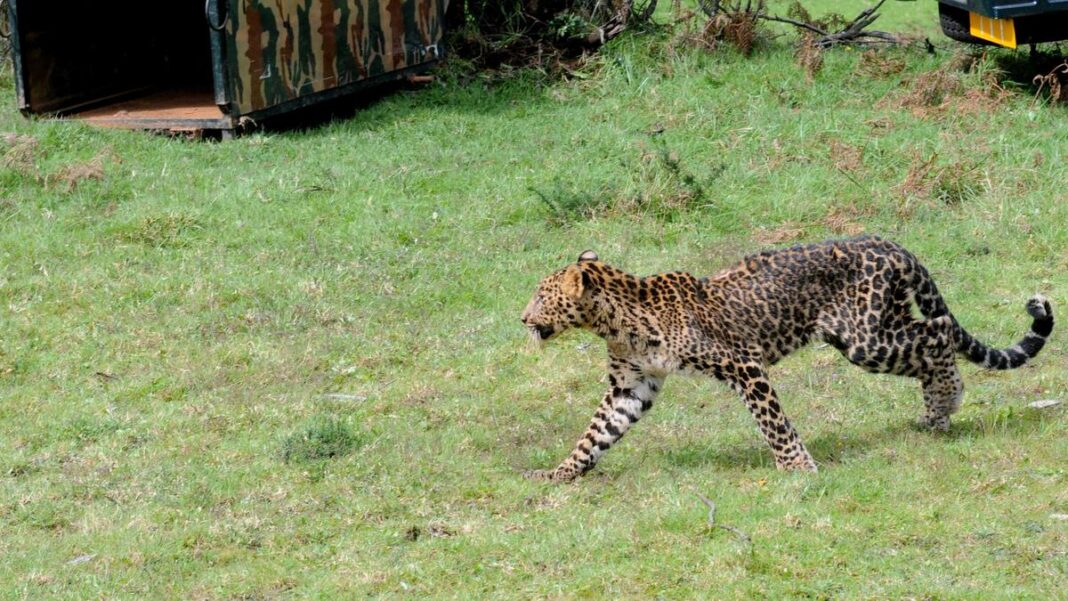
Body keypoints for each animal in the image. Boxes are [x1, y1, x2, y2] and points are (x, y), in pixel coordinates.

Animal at [520, 236, 1054, 482]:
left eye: (542, 295)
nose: (522, 317)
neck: (617, 322)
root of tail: (886, 242)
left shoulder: (744, 364)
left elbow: (773, 422)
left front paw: (797, 468)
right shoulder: (631, 386)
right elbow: (595, 434)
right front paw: (558, 474)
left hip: (866, 337)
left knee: (939, 332)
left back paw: (945, 403)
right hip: (873, 331)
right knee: (933, 338)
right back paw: (937, 412)